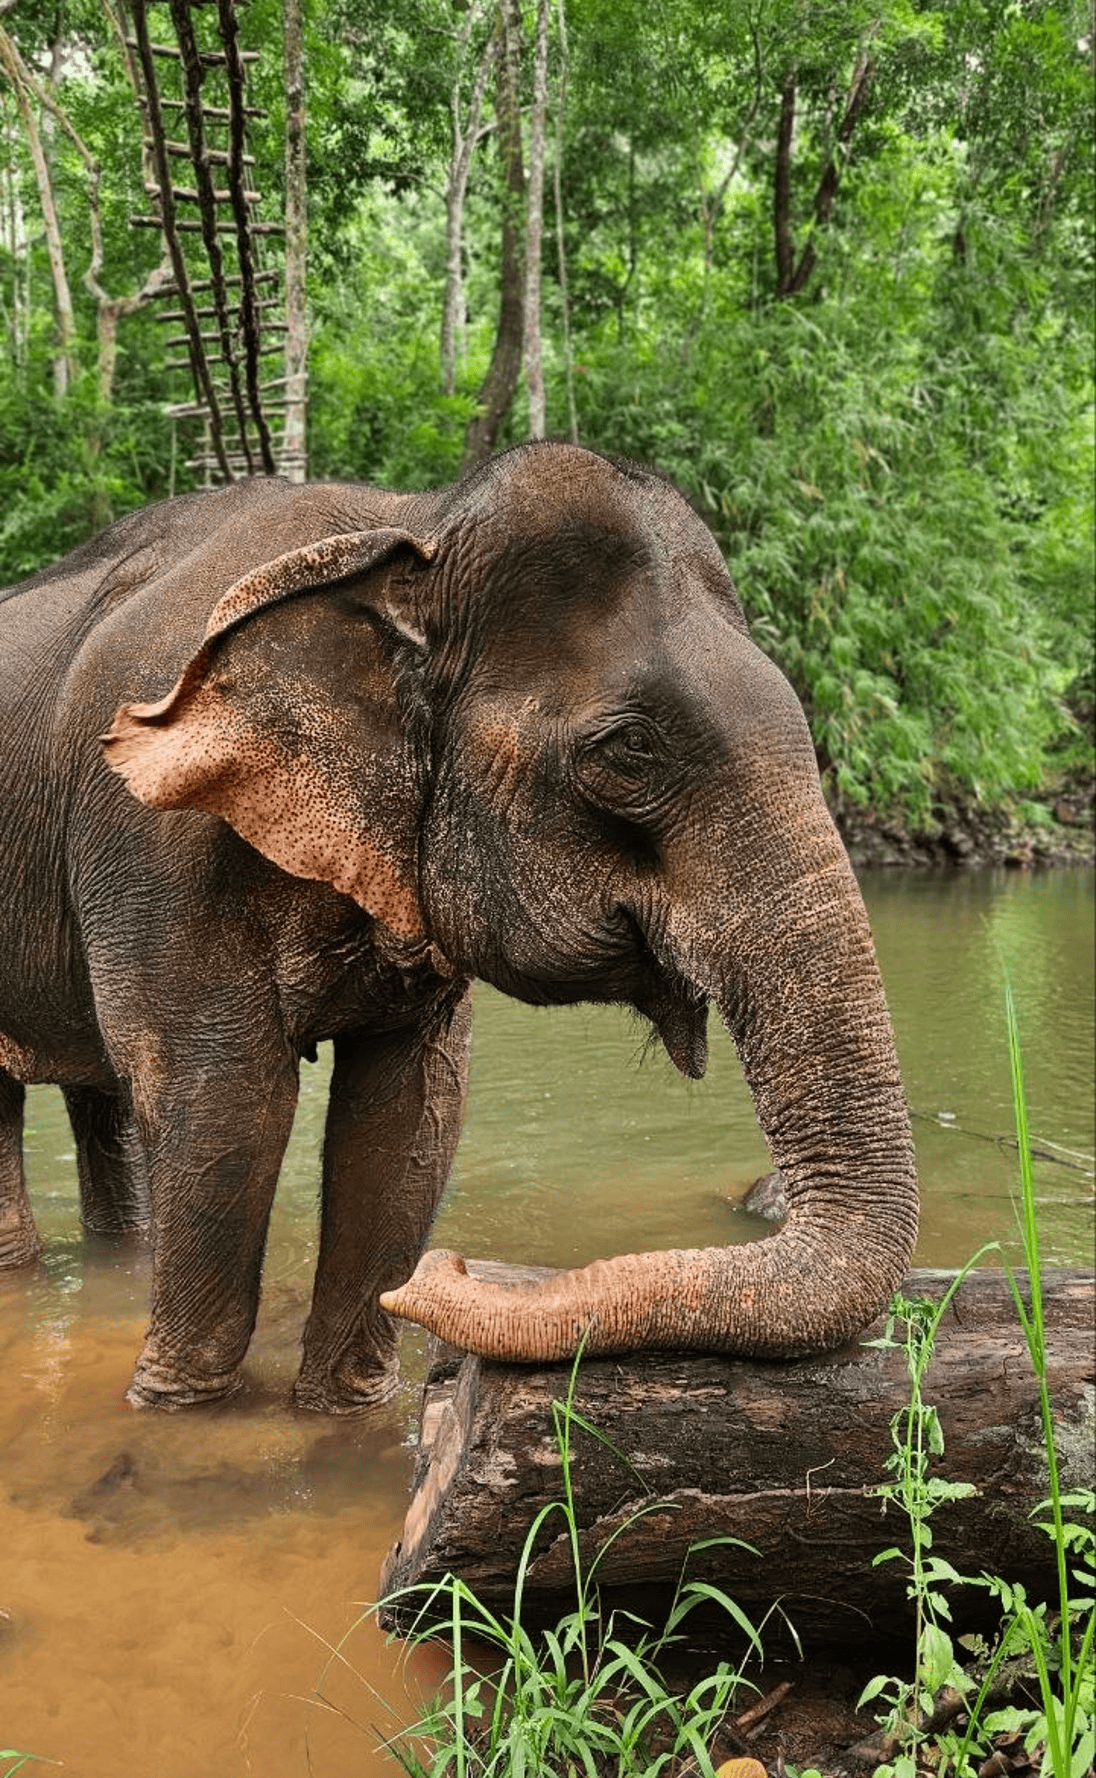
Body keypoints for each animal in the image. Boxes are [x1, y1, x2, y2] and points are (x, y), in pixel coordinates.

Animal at [0, 442, 917, 1411]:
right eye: (629, 751)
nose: (452, 1267)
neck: (412, 526)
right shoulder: (154, 838)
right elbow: (225, 1100)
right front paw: (180, 1414)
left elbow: (408, 1113)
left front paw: (347, 1405)